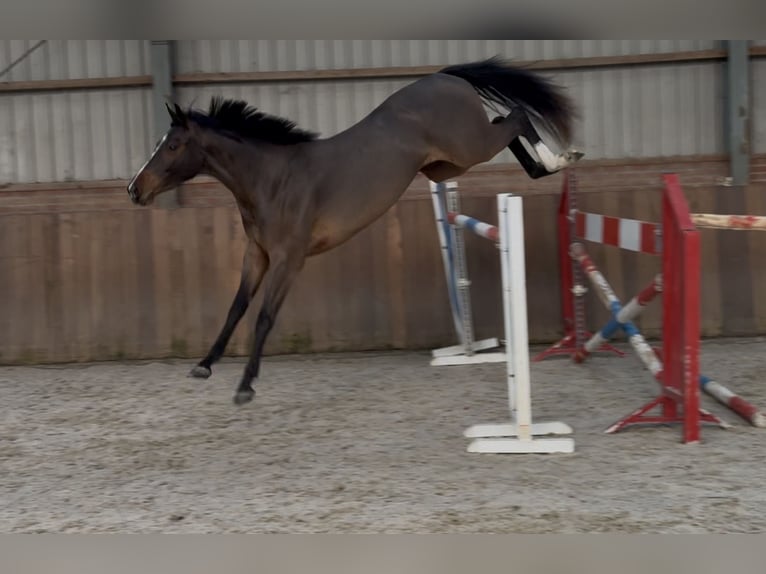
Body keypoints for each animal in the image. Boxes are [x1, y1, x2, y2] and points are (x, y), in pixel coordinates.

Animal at [127, 56, 582, 405]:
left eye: (172, 146)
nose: (134, 189)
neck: (272, 179)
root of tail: (445, 77)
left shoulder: (289, 261)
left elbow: (264, 318)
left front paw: (244, 387)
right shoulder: (257, 254)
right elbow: (236, 308)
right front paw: (204, 366)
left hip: (470, 147)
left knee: (516, 117)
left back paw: (560, 159)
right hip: (447, 165)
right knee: (508, 121)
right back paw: (546, 165)